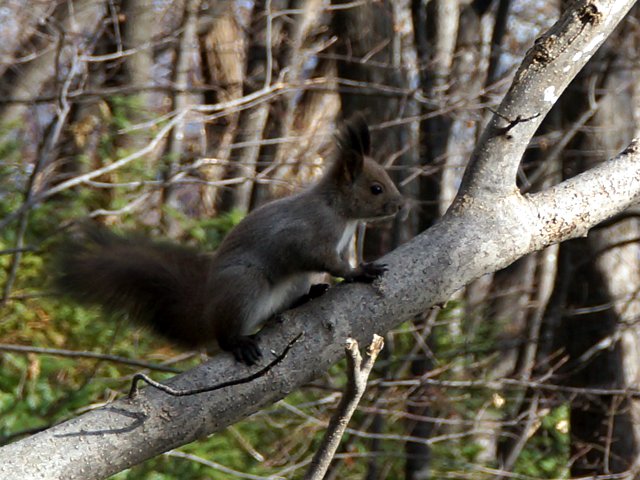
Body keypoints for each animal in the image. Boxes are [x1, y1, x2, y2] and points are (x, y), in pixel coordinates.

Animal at [56, 118, 404, 366]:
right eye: (376, 188)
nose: (401, 206)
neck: (341, 212)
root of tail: (208, 310)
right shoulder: (308, 234)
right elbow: (323, 259)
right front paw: (360, 271)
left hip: (290, 283)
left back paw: (307, 296)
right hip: (245, 285)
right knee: (225, 335)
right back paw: (238, 342)